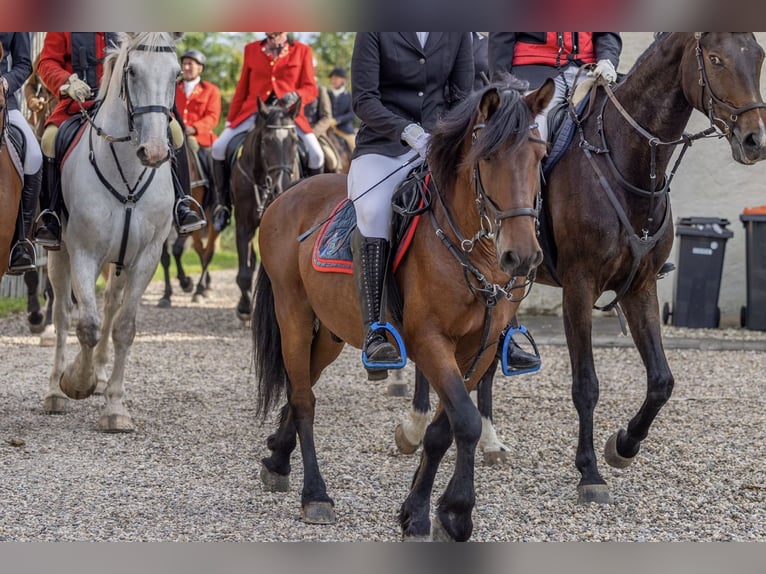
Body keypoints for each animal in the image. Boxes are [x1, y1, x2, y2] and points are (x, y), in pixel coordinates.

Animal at [42, 32, 184, 433]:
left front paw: (115, 406)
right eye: (132, 71)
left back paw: (102, 374)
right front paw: (77, 381)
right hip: (59, 255)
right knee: (63, 314)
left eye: (177, 74)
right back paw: (56, 390)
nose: (154, 152)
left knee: (109, 305)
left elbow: (124, 327)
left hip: (120, 261)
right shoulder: (83, 253)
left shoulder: (146, 256)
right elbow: (86, 325)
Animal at [158, 141, 218, 307]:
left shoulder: (188, 224)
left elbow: (177, 250)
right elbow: (165, 258)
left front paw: (186, 283)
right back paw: (206, 284)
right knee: (200, 250)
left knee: (208, 252)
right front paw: (167, 295)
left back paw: (200, 289)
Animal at [232, 98, 300, 321]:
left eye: (294, 141)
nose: (282, 185)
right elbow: (245, 274)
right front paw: (244, 308)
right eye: (266, 142)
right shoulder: (243, 225)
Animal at [252, 79, 554, 541]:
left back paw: (278, 459)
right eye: (487, 157)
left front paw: (421, 510)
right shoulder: (429, 339)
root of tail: (286, 195)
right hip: (294, 318)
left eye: (539, 156)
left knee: (303, 384)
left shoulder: (480, 349)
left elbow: (445, 428)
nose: (521, 257)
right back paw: (315, 495)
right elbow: (465, 421)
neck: (474, 252)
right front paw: (456, 512)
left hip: (332, 334)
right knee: (304, 399)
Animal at [397, 32, 766, 503]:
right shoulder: (579, 287)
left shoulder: (640, 287)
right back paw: (414, 425)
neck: (628, 162)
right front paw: (590, 471)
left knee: (485, 364)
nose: (755, 140)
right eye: (716, 59)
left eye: (759, 56)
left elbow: (661, 381)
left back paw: (491, 440)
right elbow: (586, 384)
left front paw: (623, 445)